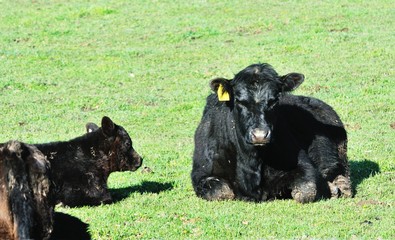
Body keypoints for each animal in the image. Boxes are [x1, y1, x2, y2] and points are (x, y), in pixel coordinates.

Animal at [193, 62, 352, 202]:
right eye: (239, 100)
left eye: (274, 100)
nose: (259, 136)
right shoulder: (200, 173)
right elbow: (221, 191)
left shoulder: (304, 165)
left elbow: (307, 190)